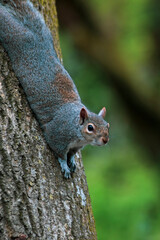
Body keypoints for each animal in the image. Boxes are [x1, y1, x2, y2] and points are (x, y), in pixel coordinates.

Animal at [0, 0, 109, 178]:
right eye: (90, 127)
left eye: (107, 125)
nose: (105, 140)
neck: (75, 128)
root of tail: (35, 38)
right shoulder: (56, 135)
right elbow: (59, 153)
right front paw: (64, 165)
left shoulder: (76, 146)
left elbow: (71, 154)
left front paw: (72, 161)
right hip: (13, 34)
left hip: (44, 34)